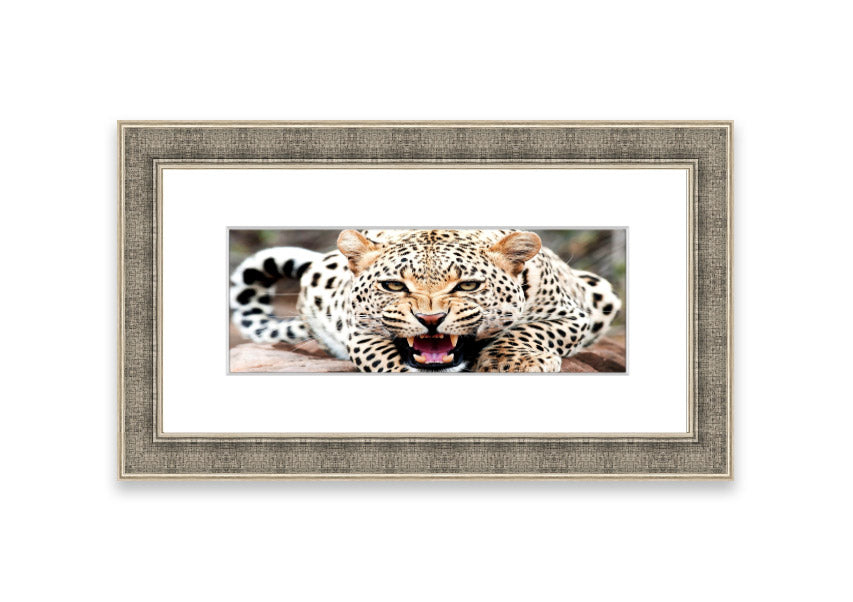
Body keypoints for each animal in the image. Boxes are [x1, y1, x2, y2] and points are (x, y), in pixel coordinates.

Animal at [230, 229, 621, 372]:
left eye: (467, 285)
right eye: (393, 285)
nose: (430, 320)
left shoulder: (574, 314)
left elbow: (530, 331)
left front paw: (514, 361)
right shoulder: (358, 332)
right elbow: (384, 358)